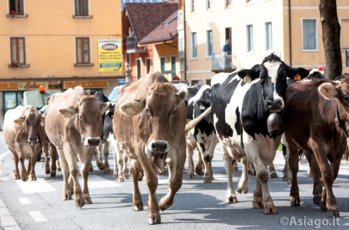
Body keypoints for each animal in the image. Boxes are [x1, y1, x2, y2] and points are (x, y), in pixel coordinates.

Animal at [113, 72, 186, 225]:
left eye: (173, 111)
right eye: (147, 110)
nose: (159, 145)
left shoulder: (179, 147)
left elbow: (176, 182)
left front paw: (163, 203)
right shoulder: (142, 147)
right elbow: (151, 181)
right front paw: (153, 212)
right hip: (132, 152)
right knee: (134, 172)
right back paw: (137, 201)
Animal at [209, 53, 308, 214]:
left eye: (283, 77)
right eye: (261, 78)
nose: (274, 103)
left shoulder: (272, 143)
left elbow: (260, 171)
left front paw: (258, 198)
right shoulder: (249, 141)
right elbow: (262, 172)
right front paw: (269, 203)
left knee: (245, 162)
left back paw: (245, 188)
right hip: (223, 139)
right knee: (228, 165)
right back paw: (231, 195)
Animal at [282, 76, 348, 217]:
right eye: (346, 96)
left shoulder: (339, 150)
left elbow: (333, 174)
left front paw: (324, 202)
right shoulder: (317, 144)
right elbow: (327, 173)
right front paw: (331, 205)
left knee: (313, 166)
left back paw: (317, 195)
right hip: (291, 141)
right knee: (293, 166)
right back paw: (294, 196)